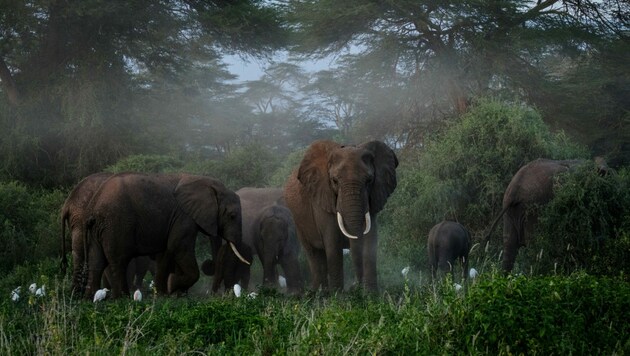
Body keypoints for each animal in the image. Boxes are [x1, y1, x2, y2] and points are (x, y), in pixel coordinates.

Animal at [84, 172, 252, 298]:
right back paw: (122, 298)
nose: (209, 263)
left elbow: (166, 252)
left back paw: (91, 299)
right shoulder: (184, 216)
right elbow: (178, 247)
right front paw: (173, 285)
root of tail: (95, 204)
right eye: (232, 216)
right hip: (117, 223)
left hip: (98, 228)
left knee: (96, 261)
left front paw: (163, 294)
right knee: (119, 260)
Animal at [284, 139, 398, 292]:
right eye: (334, 181)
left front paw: (371, 294)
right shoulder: (322, 198)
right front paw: (338, 296)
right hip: (298, 221)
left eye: (369, 180)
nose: (357, 286)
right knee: (314, 254)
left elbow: (370, 239)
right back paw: (320, 293)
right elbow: (332, 243)